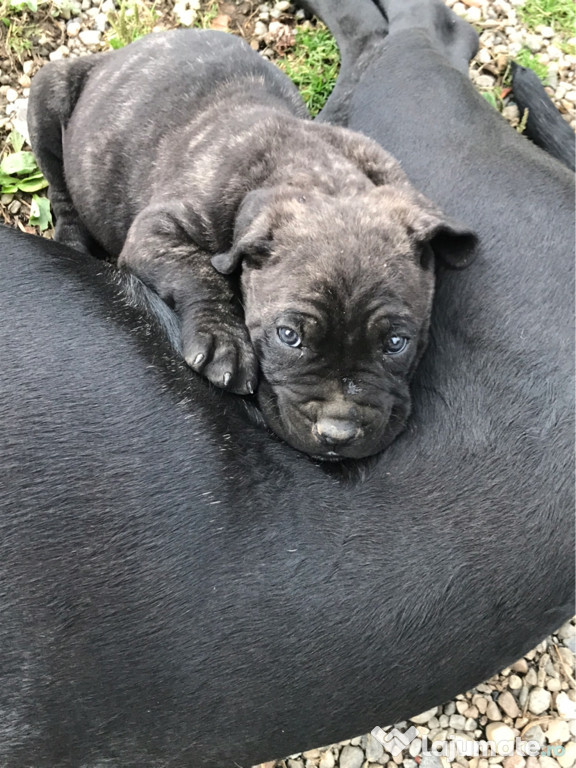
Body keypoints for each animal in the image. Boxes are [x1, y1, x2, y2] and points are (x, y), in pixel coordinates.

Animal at [28, 28, 476, 462]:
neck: (318, 177)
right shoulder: (155, 231)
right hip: (46, 97)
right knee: (60, 188)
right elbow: (199, 271)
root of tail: (116, 55)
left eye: (396, 343)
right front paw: (223, 340)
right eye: (288, 336)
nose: (338, 432)